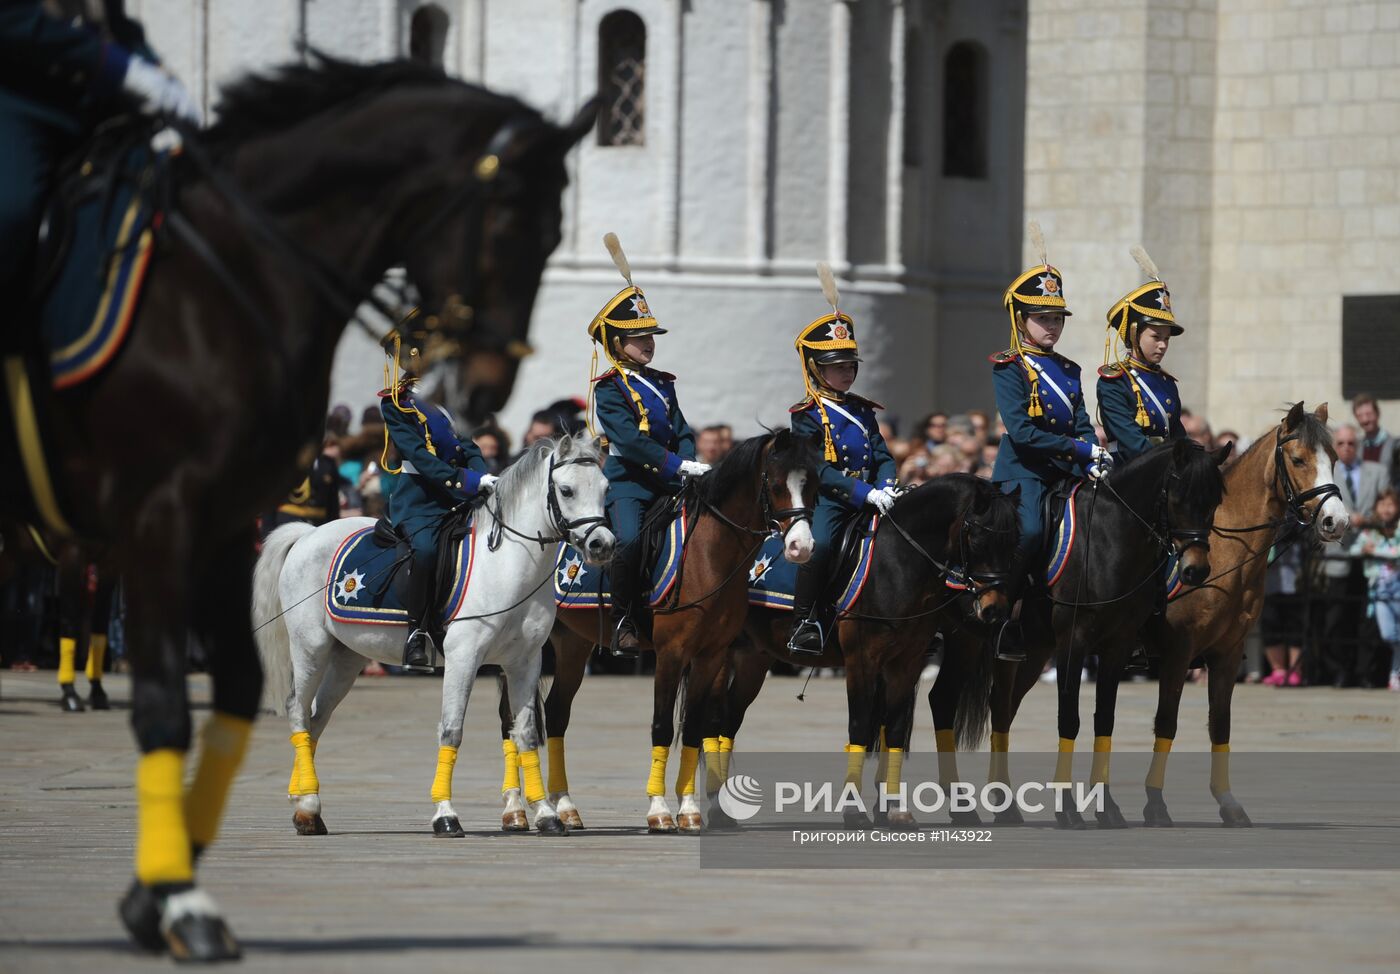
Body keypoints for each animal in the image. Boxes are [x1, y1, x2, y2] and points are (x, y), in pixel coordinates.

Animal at [253, 433, 613, 839]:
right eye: (566, 490)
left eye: (605, 488)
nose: (603, 544)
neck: (507, 565)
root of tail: (307, 534)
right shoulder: (463, 657)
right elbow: (451, 730)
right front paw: (445, 814)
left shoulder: (524, 662)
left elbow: (525, 733)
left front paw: (547, 814)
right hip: (311, 647)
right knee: (298, 709)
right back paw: (309, 804)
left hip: (347, 658)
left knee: (316, 718)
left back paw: (305, 808)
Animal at [526, 431, 817, 834]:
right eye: (775, 485)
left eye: (814, 484)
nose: (801, 547)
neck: (710, 553)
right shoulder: (672, 653)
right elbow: (663, 726)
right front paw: (660, 810)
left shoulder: (711, 655)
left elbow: (694, 727)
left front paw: (691, 810)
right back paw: (521, 810)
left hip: (573, 643)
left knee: (556, 712)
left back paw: (565, 806)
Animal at [935, 436, 1232, 822]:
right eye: (1179, 499)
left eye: (1213, 502)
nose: (1196, 570)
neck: (1111, 540)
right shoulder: (1073, 642)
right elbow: (1069, 718)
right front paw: (1069, 809)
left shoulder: (1118, 645)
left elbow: (1104, 719)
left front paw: (1107, 808)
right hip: (967, 641)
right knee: (954, 701)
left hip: (1030, 653)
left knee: (1000, 708)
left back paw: (1004, 804)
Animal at [1142, 405, 1349, 828]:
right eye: (1298, 459)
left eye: (1335, 459)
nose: (1336, 521)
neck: (1223, 551)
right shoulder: (1177, 652)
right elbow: (1166, 719)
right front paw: (1155, 802)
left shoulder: (1228, 653)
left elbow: (1220, 723)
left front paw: (1228, 802)